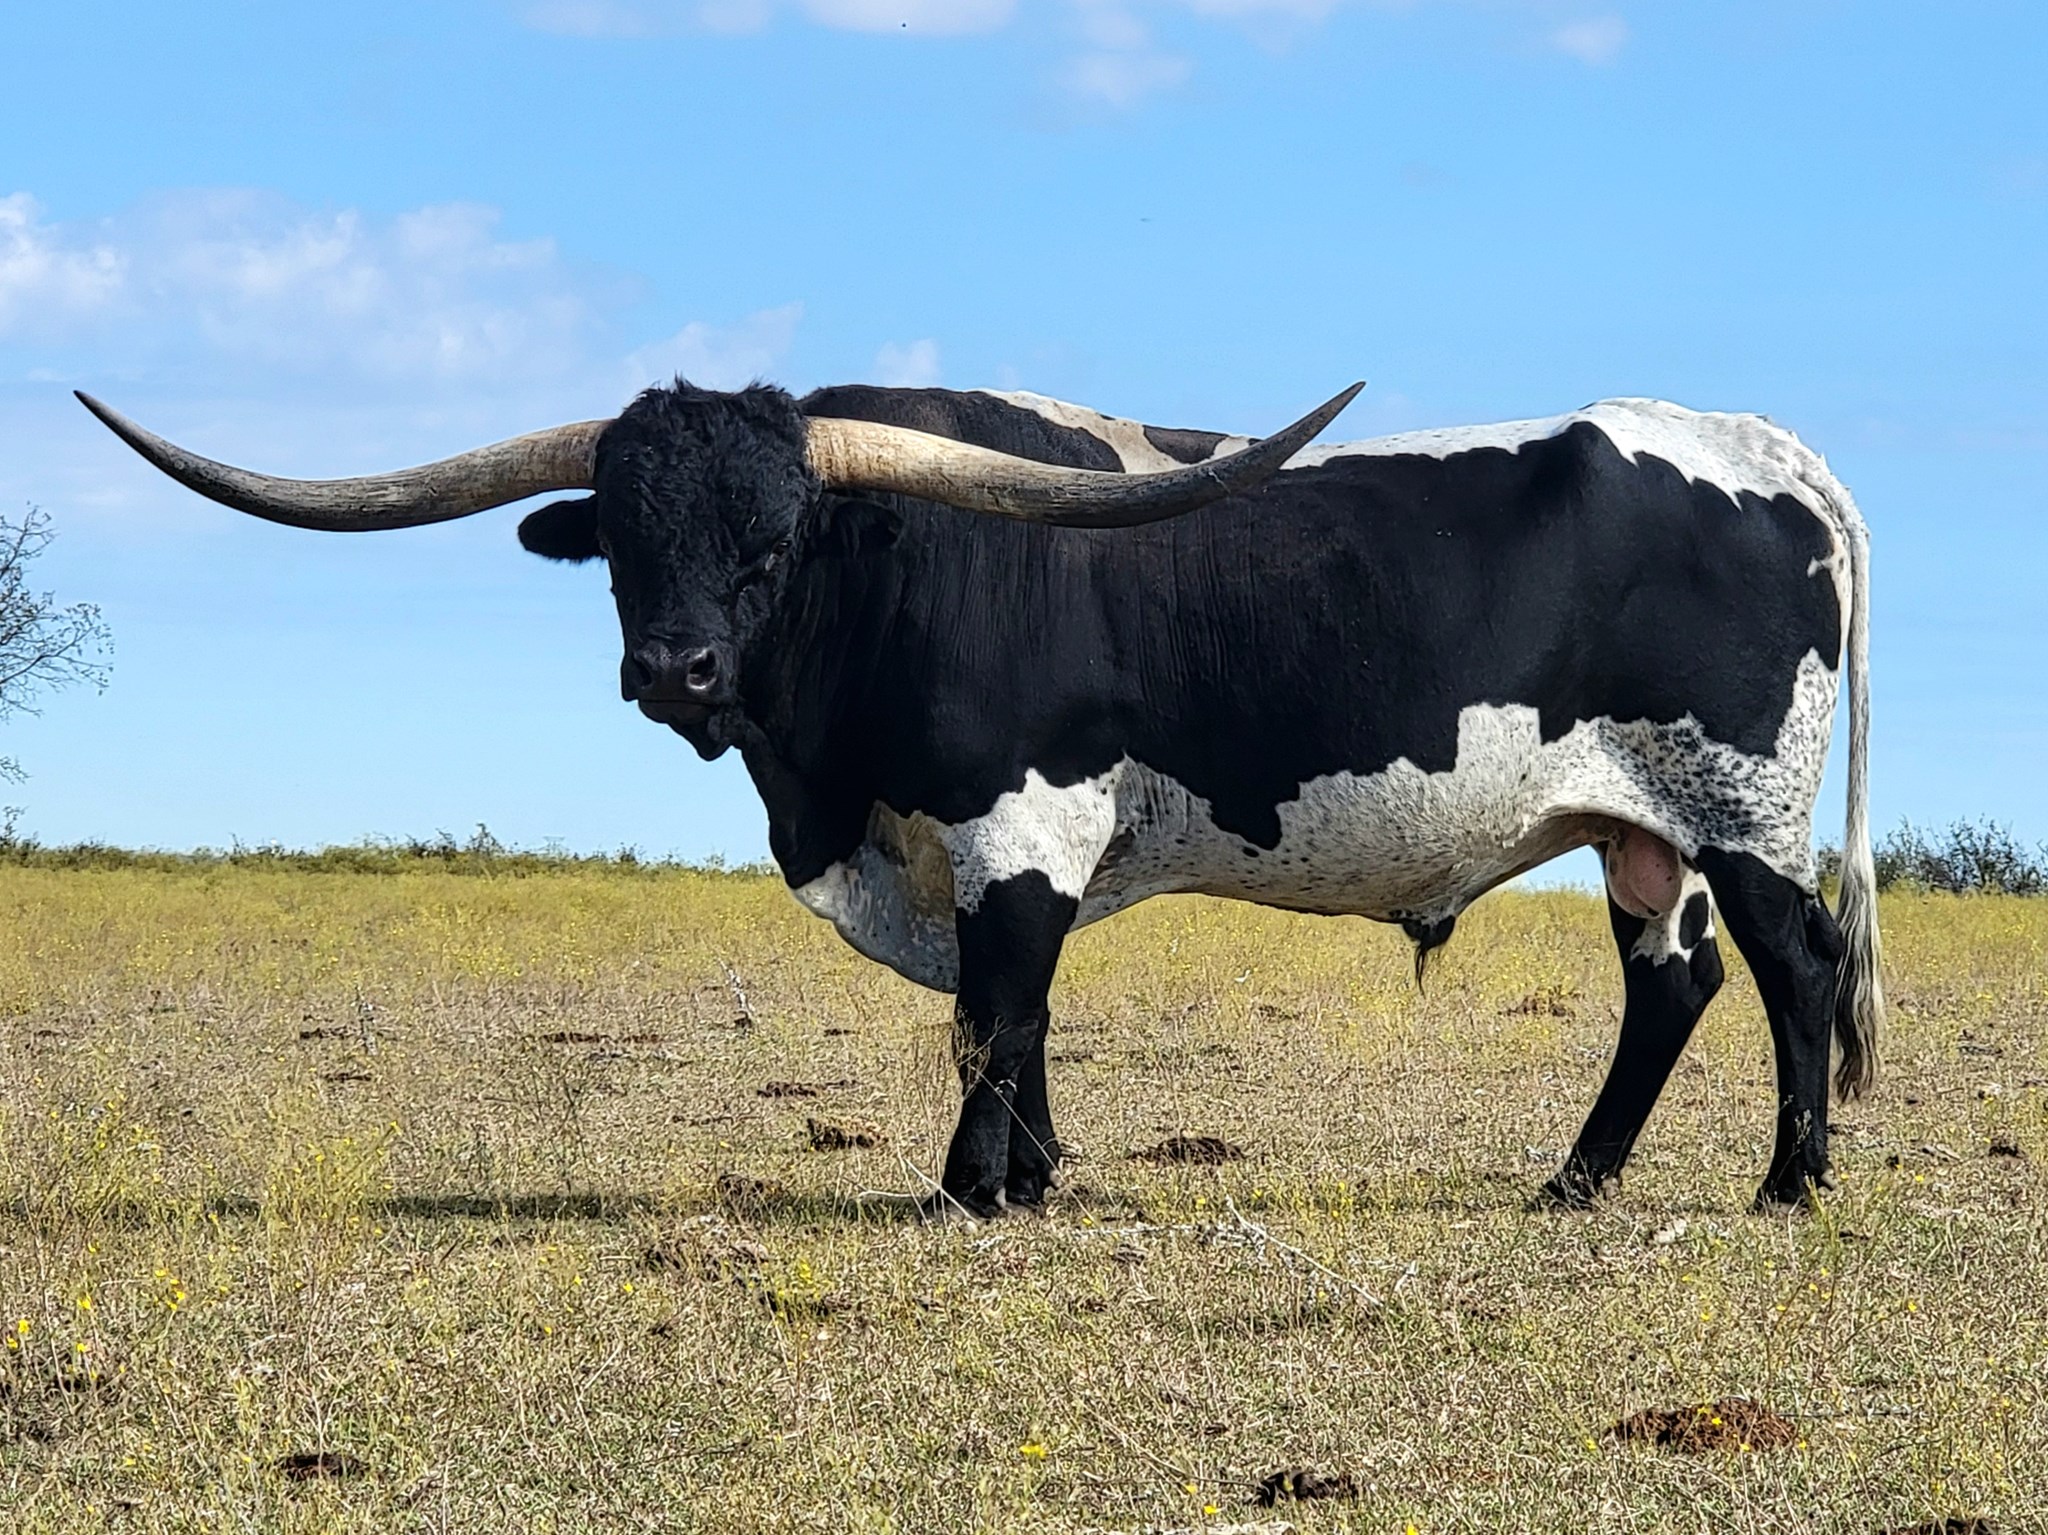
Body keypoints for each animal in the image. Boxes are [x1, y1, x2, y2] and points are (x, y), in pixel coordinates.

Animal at [79, 375, 1882, 1218]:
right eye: (622, 538)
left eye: (775, 535)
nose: (675, 668)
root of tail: (1762, 449)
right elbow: (1015, 1020)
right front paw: (1033, 1174)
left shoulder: (1020, 830)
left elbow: (994, 1011)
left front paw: (966, 1191)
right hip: (1645, 831)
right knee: (1672, 983)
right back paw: (1576, 1179)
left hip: (1739, 812)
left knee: (1792, 968)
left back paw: (1787, 1182)